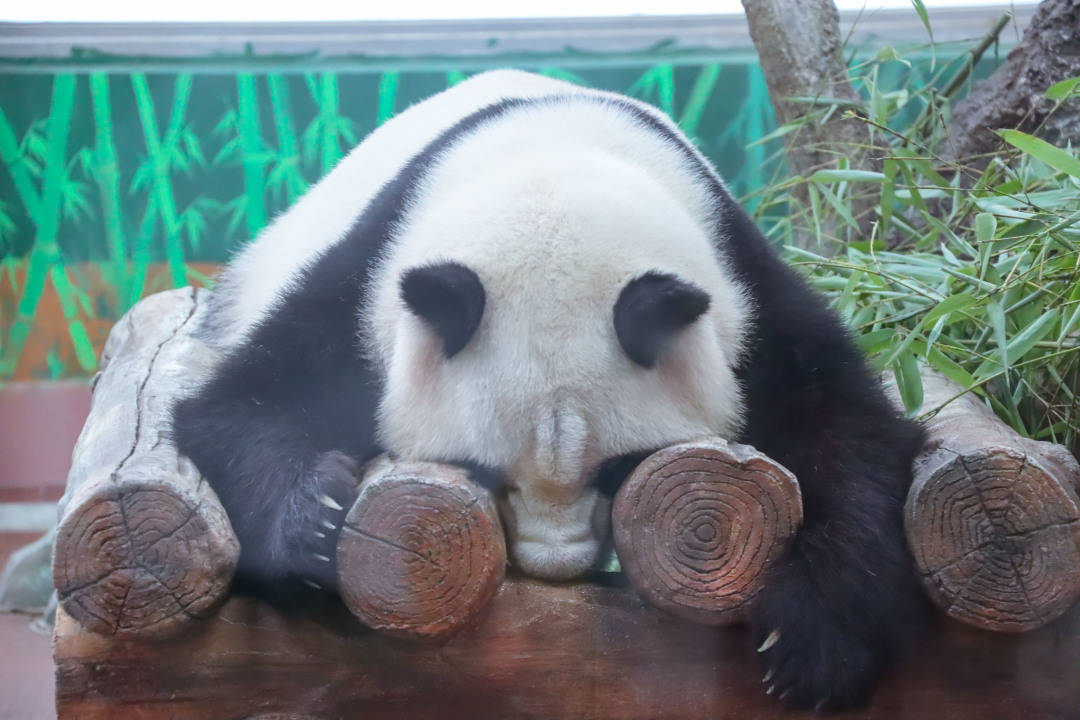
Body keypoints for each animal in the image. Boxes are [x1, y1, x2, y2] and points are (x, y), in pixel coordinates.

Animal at [170, 69, 928, 708]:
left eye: (618, 470)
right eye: (480, 474)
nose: (555, 568)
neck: (555, 174)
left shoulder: (740, 289)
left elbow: (845, 427)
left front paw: (810, 642)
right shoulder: (370, 284)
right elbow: (244, 406)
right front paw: (315, 520)